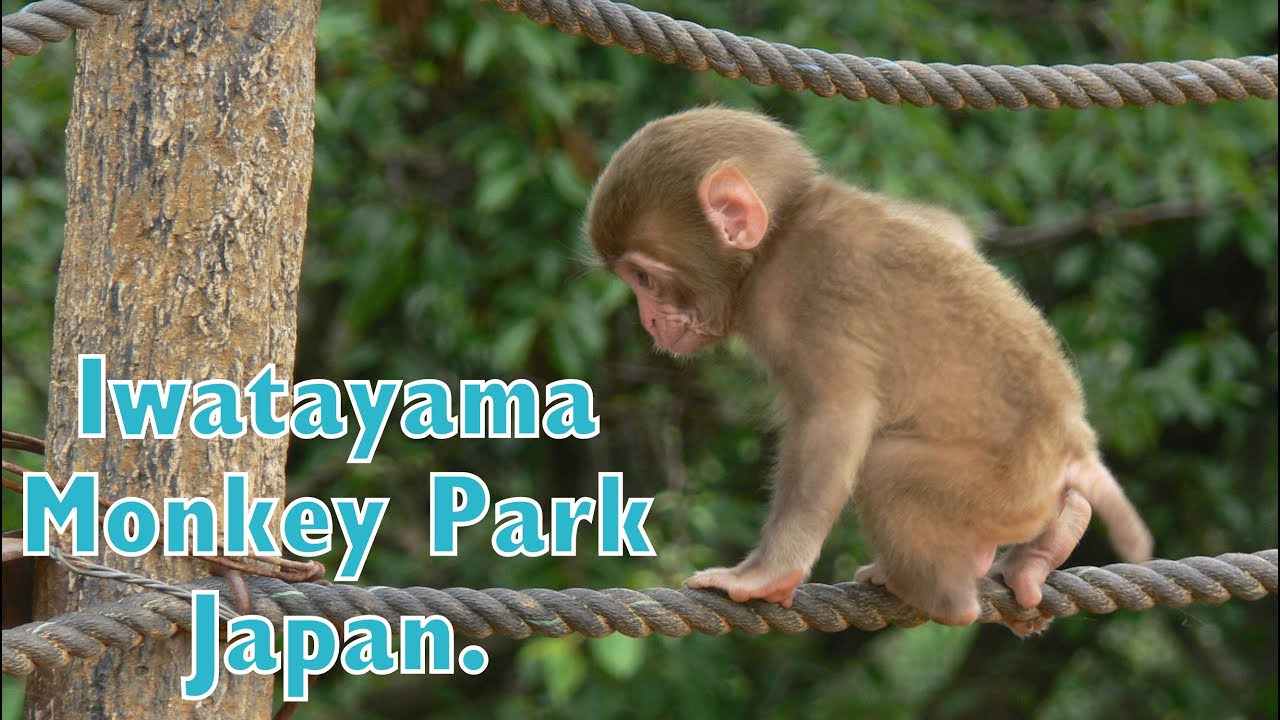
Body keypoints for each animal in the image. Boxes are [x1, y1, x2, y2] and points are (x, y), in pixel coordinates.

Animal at [583, 107, 1153, 635]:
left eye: (643, 278)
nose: (647, 319)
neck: (779, 237)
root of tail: (1072, 446)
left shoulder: (806, 295)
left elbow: (835, 419)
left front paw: (766, 574)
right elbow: (950, 231)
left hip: (1004, 489)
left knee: (885, 467)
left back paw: (945, 596)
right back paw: (1049, 544)